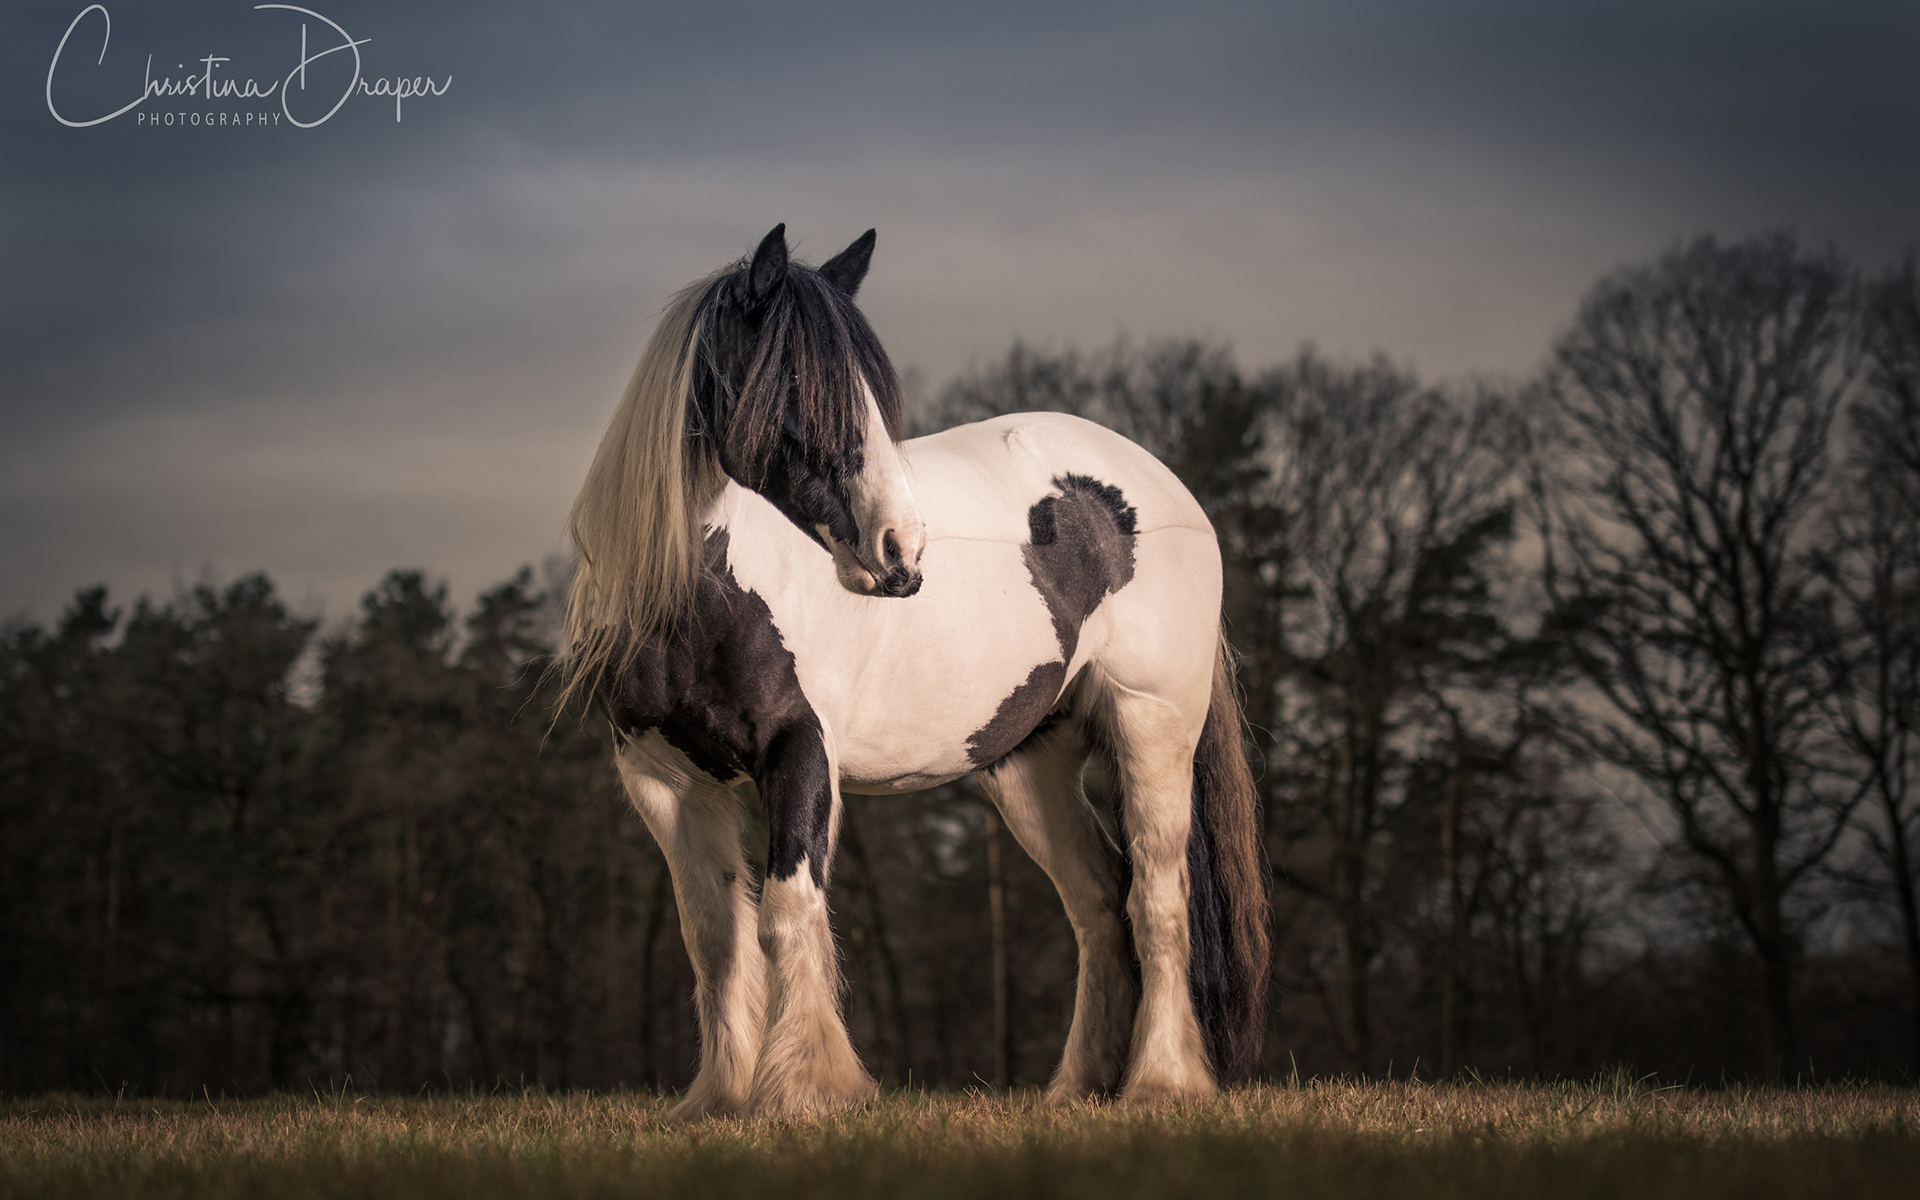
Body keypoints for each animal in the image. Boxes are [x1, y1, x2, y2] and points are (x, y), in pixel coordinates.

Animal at [560, 226, 1267, 1121]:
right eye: (799, 382)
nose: (901, 552)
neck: (704, 587)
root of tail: (1166, 489)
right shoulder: (663, 778)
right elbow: (715, 937)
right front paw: (720, 1098)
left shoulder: (799, 753)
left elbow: (788, 908)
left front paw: (806, 1089)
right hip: (1028, 766)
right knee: (1098, 903)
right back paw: (1080, 1087)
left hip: (1153, 728)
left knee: (1158, 898)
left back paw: (1161, 1083)